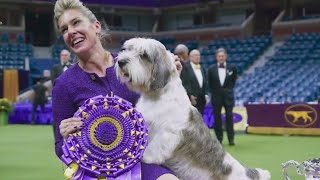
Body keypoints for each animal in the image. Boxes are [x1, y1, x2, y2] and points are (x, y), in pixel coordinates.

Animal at [115, 37, 270, 179]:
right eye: (126, 49)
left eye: (144, 55)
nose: (120, 61)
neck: (156, 97)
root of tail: (246, 172)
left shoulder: (168, 133)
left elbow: (154, 147)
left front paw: (144, 156)